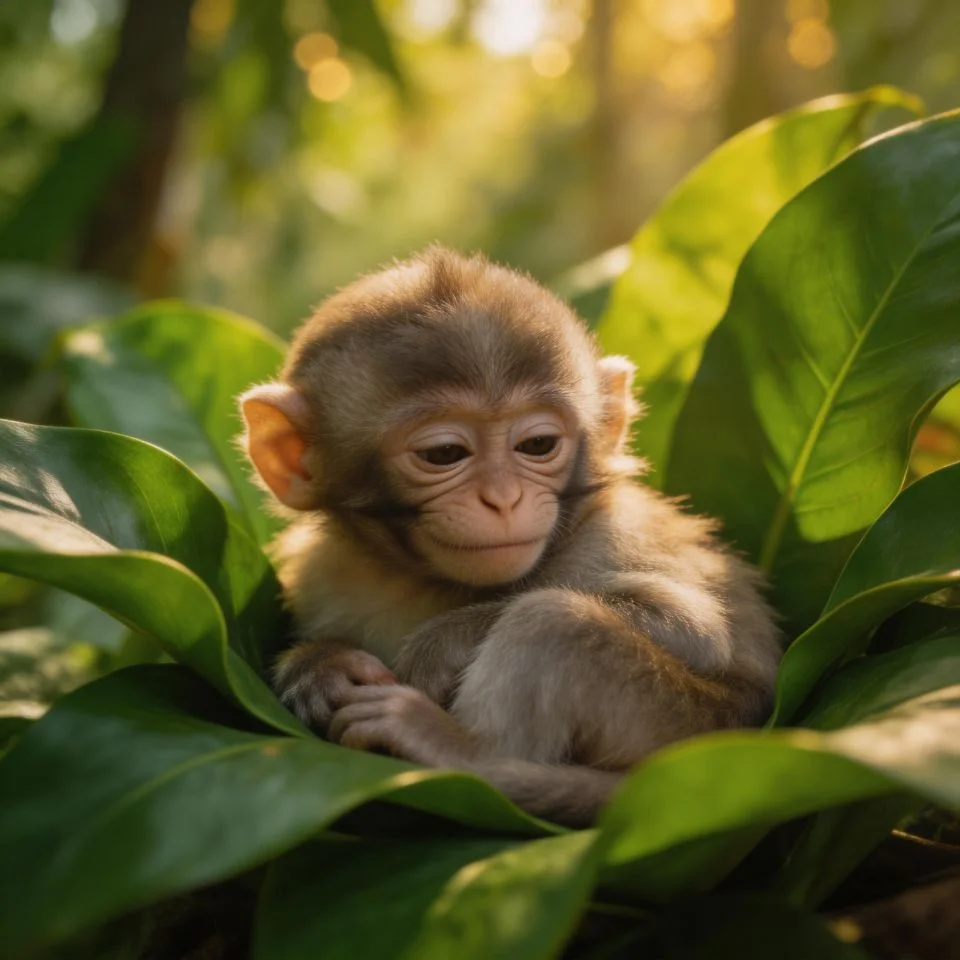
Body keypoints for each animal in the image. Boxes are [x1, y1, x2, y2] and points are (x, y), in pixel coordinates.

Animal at [239, 247, 781, 827]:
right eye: (444, 454)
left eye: (538, 445)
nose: (503, 498)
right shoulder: (314, 570)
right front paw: (320, 667)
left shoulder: (615, 537)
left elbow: (690, 627)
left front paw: (439, 645)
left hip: (683, 723)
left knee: (554, 622)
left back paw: (454, 749)